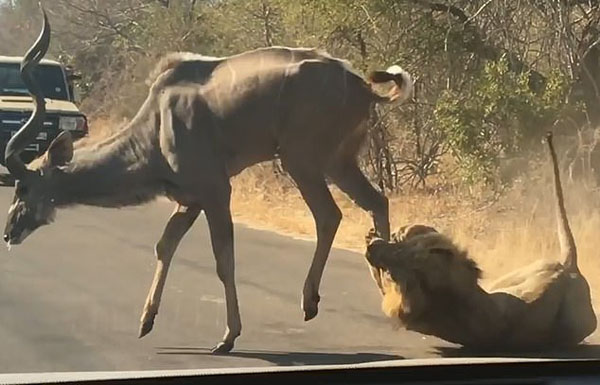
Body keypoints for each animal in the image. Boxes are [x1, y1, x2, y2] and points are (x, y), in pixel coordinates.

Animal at [2, 9, 412, 352]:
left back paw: (310, 301)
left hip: (302, 160)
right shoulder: (190, 199)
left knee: (329, 215)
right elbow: (164, 245)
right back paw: (387, 295)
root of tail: (363, 87)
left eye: (24, 187)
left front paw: (228, 337)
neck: (156, 126)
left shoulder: (215, 191)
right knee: (376, 201)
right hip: (338, 162)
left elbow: (222, 259)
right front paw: (145, 322)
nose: (9, 233)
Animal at [364, 133, 596, 352]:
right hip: (521, 273)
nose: (372, 246)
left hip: (575, 313)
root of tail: (569, 268)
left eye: (395, 269)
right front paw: (388, 236)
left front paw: (389, 237)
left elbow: (390, 272)